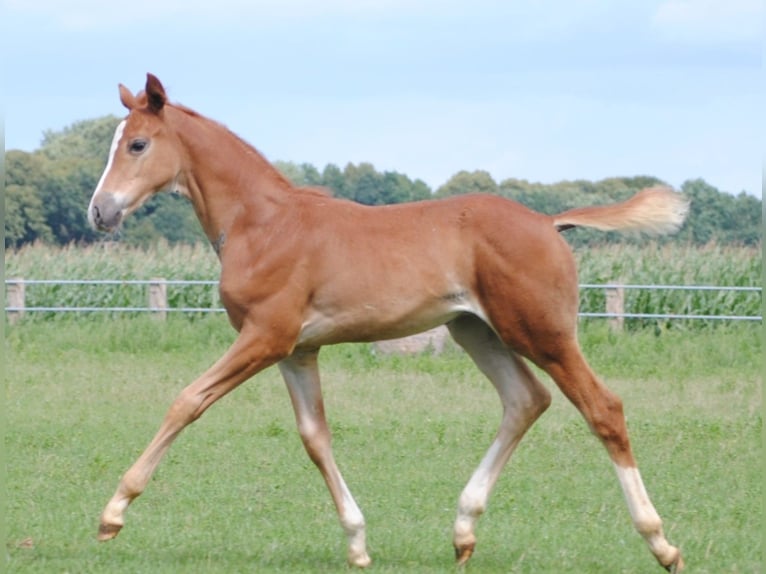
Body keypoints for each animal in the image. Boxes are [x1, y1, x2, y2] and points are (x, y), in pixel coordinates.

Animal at [88, 75, 688, 572]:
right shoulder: (297, 351)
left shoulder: (265, 337)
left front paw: (113, 513)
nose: (99, 211)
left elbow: (187, 400)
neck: (261, 223)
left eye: (137, 144)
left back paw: (661, 543)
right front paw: (357, 543)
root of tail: (547, 221)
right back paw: (463, 532)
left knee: (602, 407)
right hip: (475, 330)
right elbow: (315, 437)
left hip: (542, 333)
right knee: (525, 400)